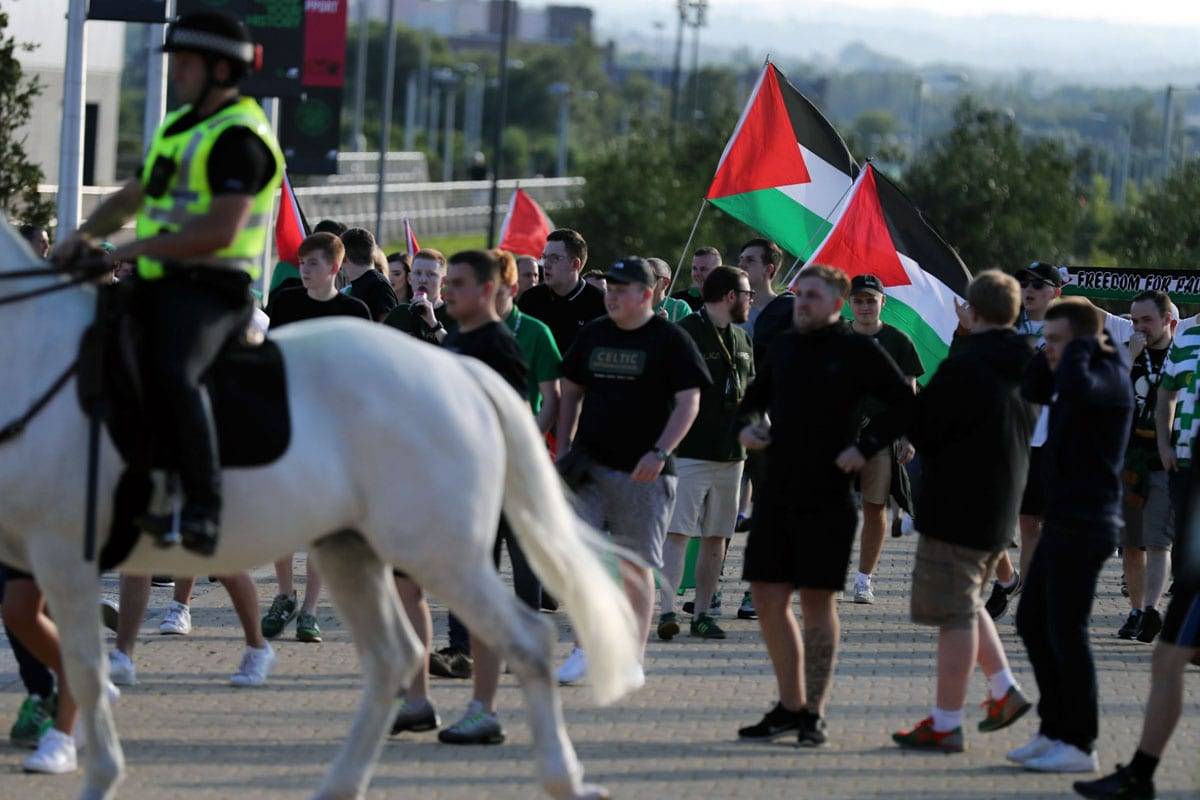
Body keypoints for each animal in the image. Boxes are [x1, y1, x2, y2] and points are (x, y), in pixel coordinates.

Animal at [0, 220, 638, 800]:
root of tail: (464, 373)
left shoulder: (65, 556)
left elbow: (84, 669)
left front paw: (98, 774)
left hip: (440, 553)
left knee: (525, 640)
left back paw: (562, 777)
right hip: (352, 552)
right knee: (393, 658)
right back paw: (341, 782)